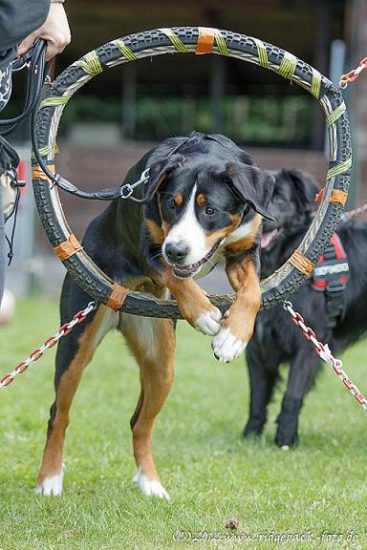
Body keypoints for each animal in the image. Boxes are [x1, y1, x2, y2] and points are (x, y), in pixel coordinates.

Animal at [244, 170, 367, 450]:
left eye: (279, 198)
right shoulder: (257, 347)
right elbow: (257, 396)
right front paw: (250, 435)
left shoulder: (310, 344)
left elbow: (292, 395)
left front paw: (286, 439)